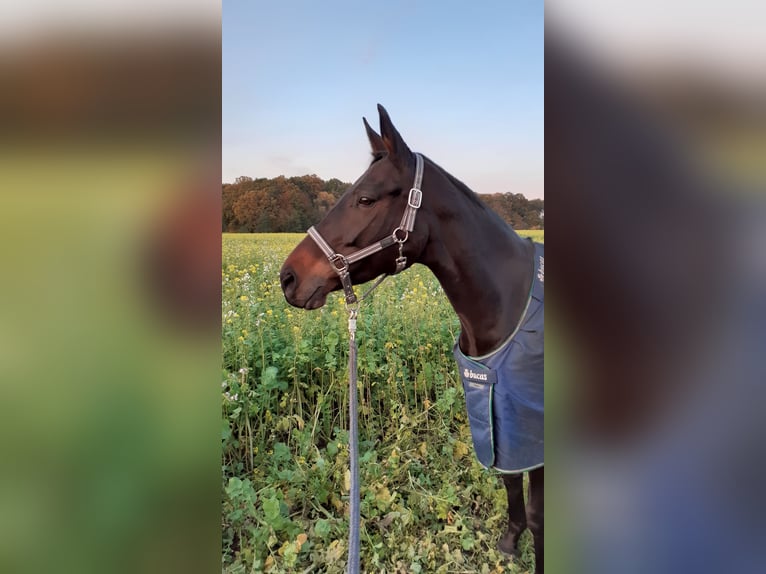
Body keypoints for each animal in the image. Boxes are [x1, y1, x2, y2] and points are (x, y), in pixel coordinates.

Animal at [282, 106, 544, 572]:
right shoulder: (502, 420)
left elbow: (538, 513)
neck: (507, 306)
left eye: (366, 198)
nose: (287, 278)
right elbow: (511, 484)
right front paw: (510, 542)